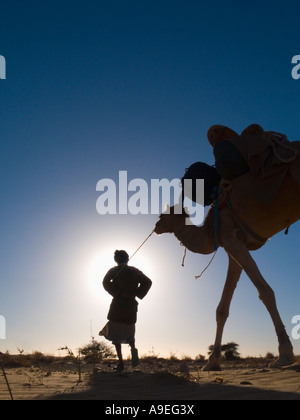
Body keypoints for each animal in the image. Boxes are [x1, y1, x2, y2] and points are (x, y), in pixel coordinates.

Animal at [155, 169, 300, 370]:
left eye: (162, 216)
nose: (155, 227)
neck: (210, 230)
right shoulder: (234, 245)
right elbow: (222, 309)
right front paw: (212, 361)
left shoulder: (231, 238)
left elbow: (265, 292)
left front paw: (285, 354)